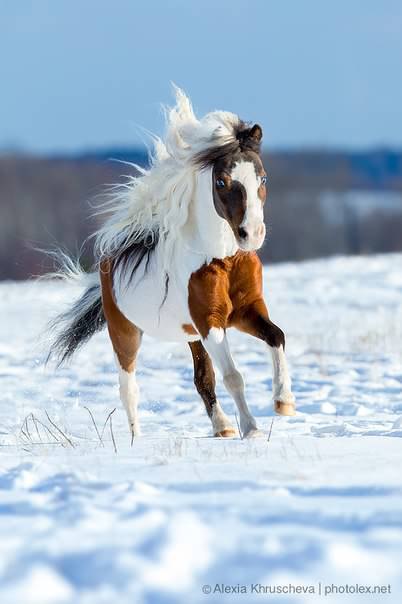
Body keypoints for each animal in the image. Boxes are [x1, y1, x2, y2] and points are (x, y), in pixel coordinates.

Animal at [49, 87, 296, 438]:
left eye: (262, 178)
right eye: (221, 182)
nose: (252, 234)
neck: (223, 260)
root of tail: (110, 261)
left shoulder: (246, 311)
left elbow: (277, 337)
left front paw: (284, 402)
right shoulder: (210, 323)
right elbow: (234, 376)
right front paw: (252, 430)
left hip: (190, 335)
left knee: (202, 378)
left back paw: (222, 427)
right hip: (125, 332)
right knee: (129, 389)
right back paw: (135, 441)